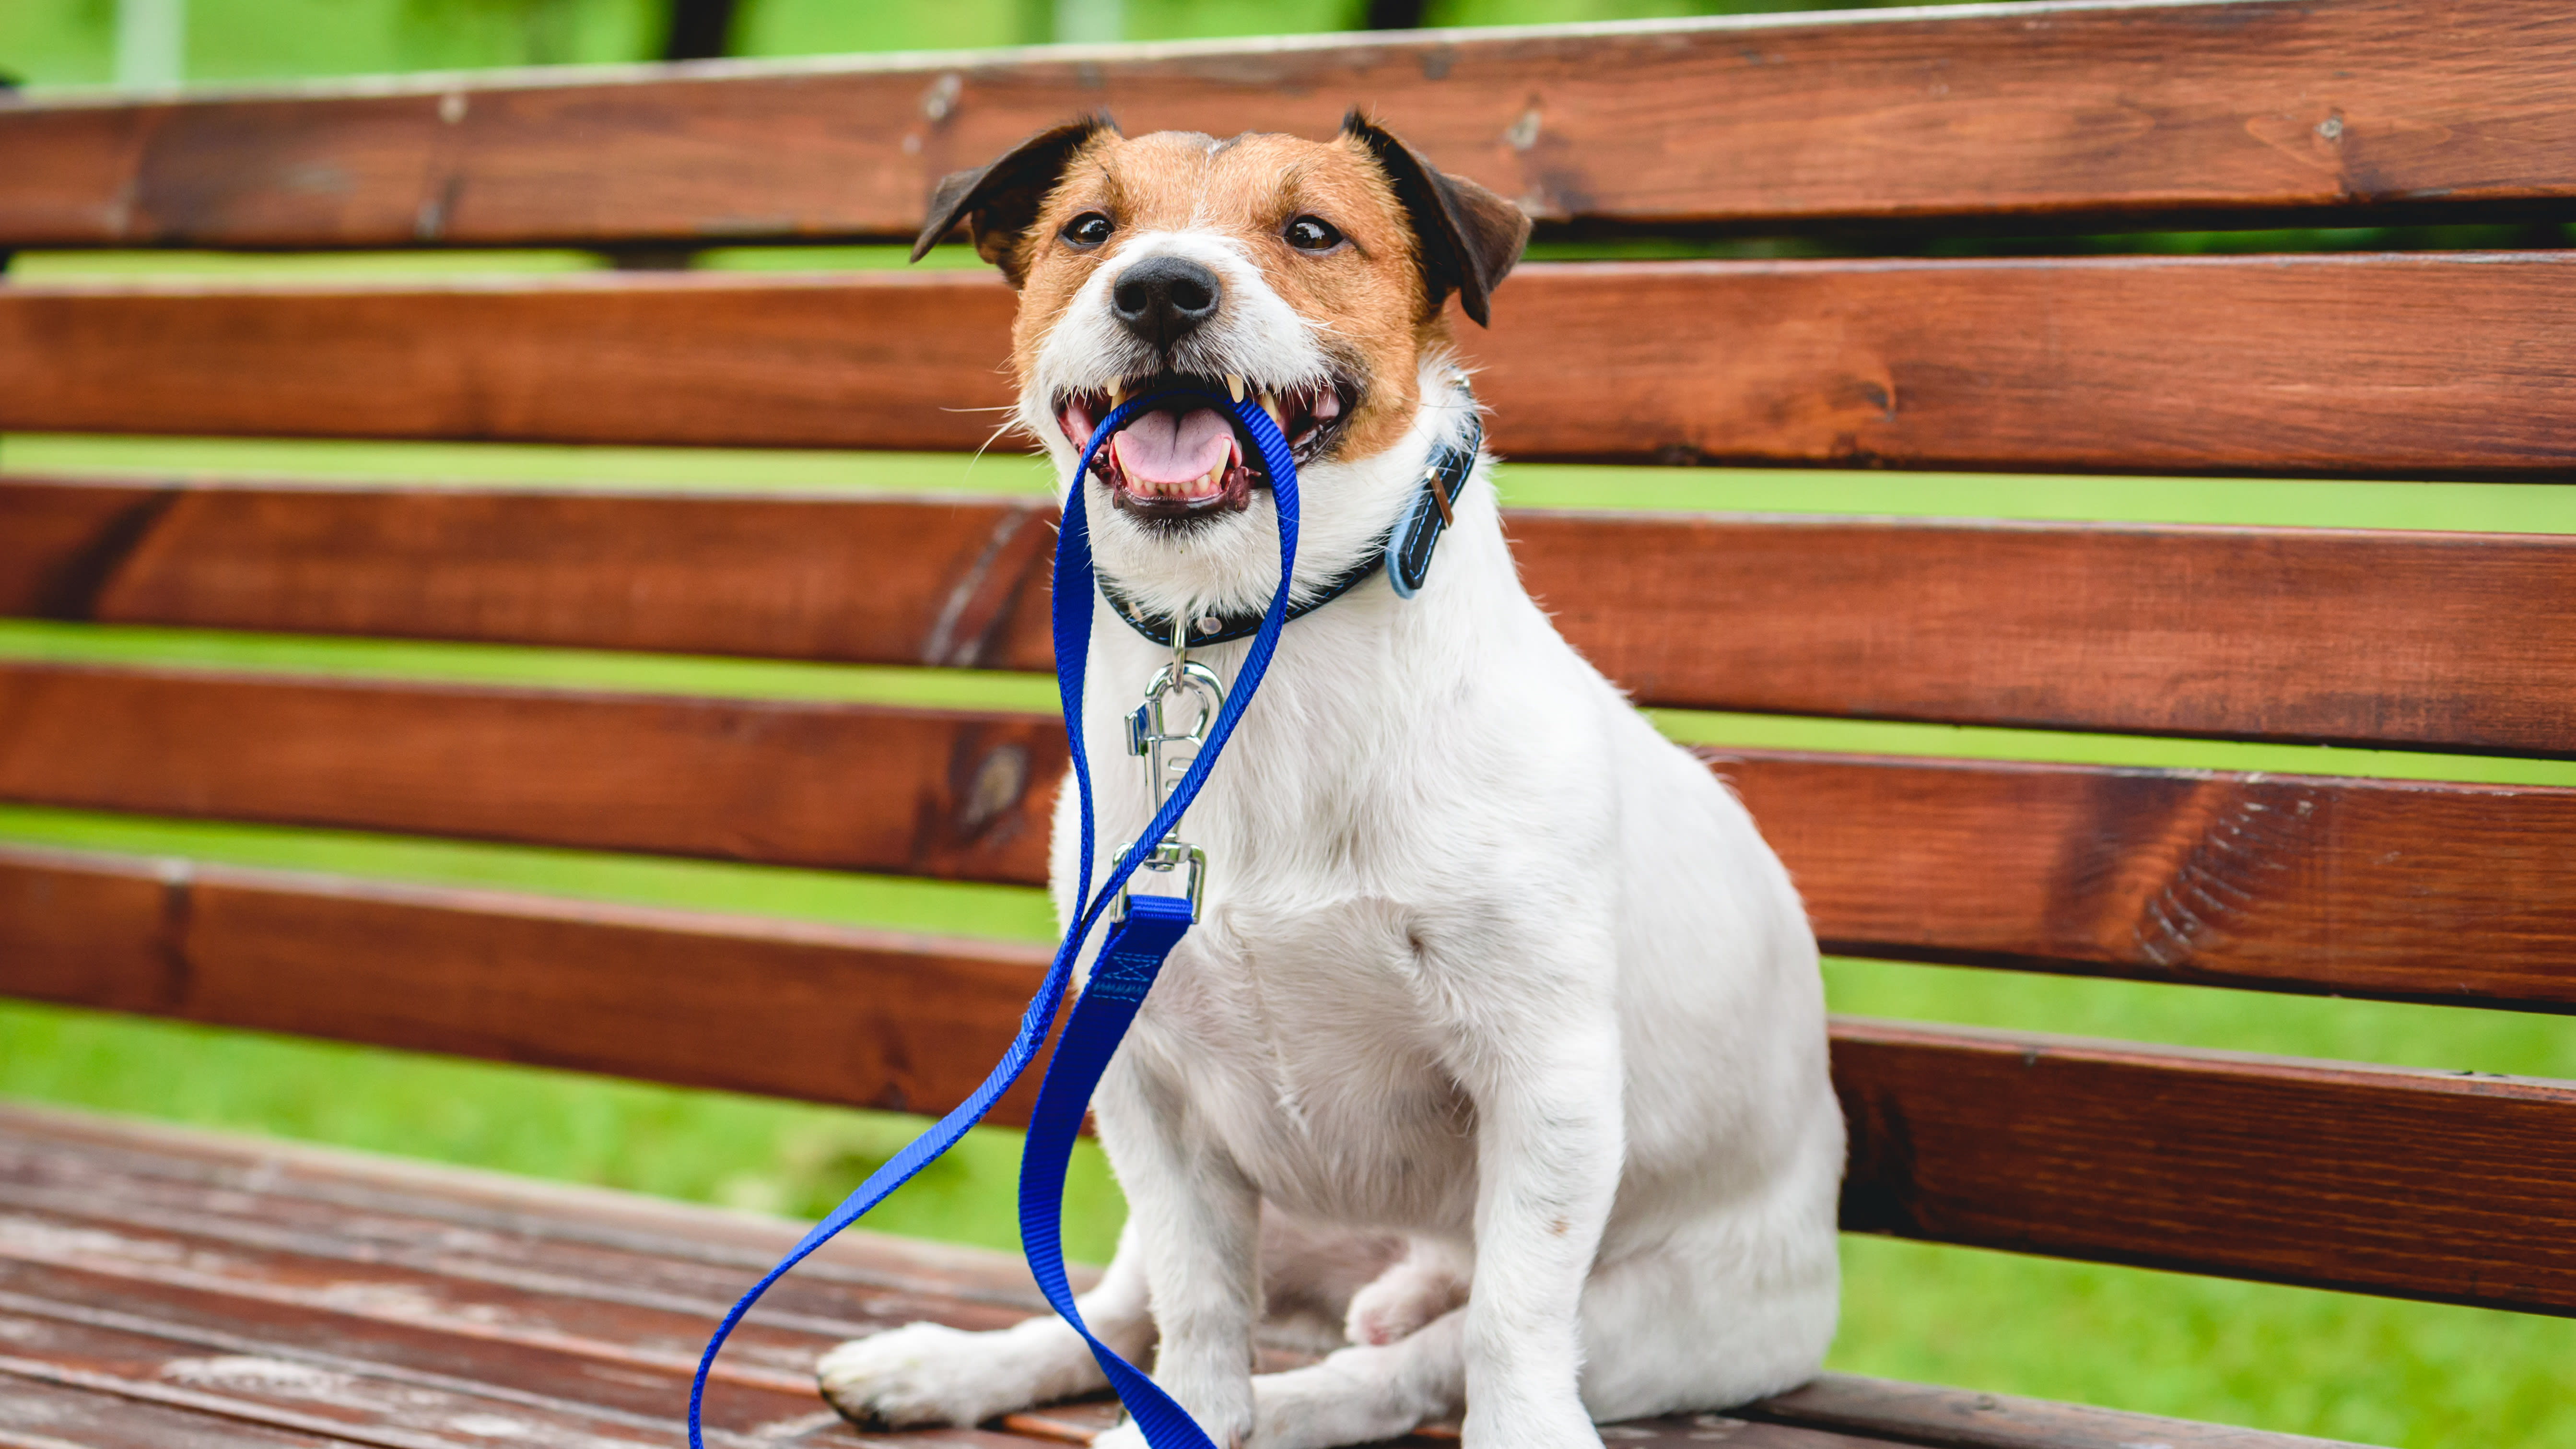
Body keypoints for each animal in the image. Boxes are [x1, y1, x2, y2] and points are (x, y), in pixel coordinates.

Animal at [814, 115, 1844, 1444]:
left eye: (1312, 231)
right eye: (1089, 229)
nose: (1160, 287)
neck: (1248, 640)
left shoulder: (1547, 1076)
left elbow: (1514, 1322)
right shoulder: (1143, 1077)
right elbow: (1196, 1303)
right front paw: (1181, 1418)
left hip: (1650, 1314)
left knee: (1417, 1360)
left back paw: (1309, 1394)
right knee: (1122, 1312)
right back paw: (942, 1366)